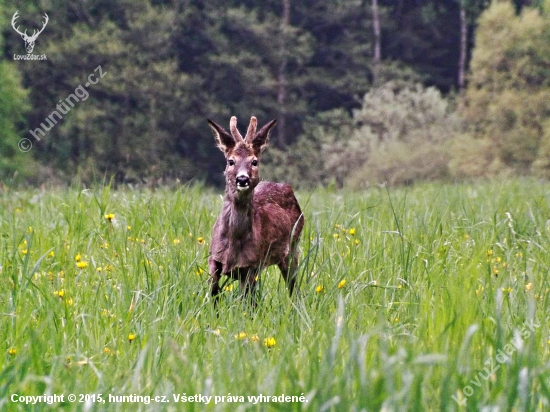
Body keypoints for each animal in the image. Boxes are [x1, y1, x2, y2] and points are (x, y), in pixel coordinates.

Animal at [209, 116, 306, 306]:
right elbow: (213, 294)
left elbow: (247, 304)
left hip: (292, 249)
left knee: (294, 288)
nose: (242, 179)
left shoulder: (252, 265)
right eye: (231, 161)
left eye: (254, 161)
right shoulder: (213, 259)